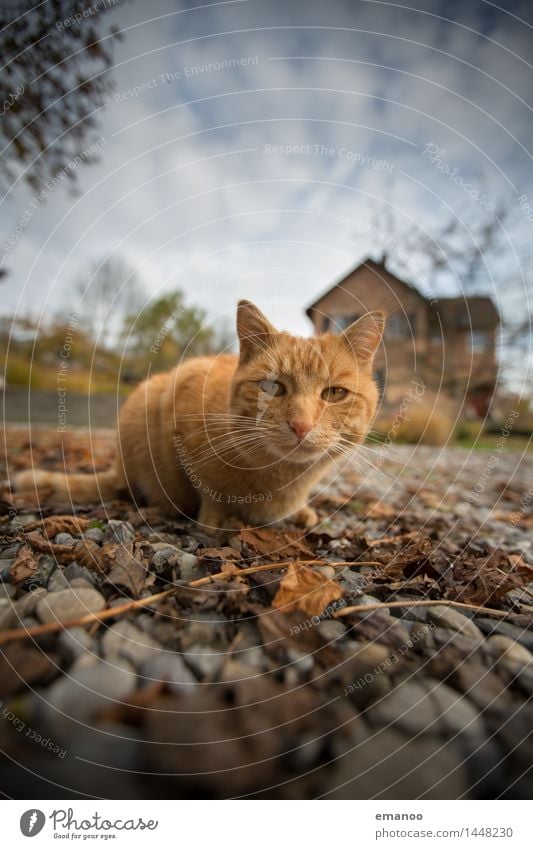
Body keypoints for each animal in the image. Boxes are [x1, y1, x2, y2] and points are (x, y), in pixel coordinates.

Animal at [16, 300, 382, 528]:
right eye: (271, 386)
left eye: (335, 393)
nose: (301, 426)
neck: (282, 479)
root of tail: (118, 468)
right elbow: (208, 491)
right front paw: (218, 519)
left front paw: (300, 511)